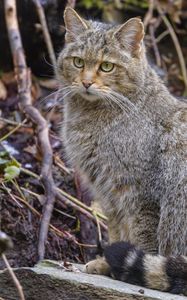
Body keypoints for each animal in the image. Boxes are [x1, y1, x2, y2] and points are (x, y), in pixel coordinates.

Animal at [57, 7, 187, 296]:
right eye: (78, 62)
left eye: (107, 66)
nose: (86, 82)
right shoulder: (110, 192)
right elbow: (117, 232)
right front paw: (107, 263)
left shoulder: (140, 192)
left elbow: (142, 238)